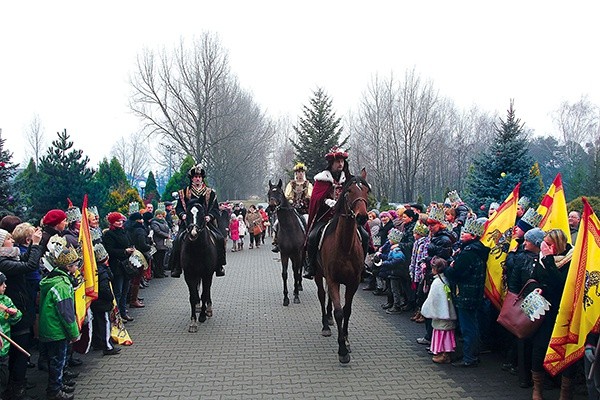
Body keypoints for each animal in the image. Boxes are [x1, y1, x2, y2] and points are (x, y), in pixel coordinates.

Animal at [180, 198, 218, 332]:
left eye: (202, 214)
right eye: (187, 214)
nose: (193, 233)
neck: (197, 250)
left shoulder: (207, 274)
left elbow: (204, 294)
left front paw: (202, 316)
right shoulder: (189, 274)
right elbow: (193, 296)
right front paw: (193, 322)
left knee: (207, 290)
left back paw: (208, 309)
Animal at [314, 169, 370, 362]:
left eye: (367, 191)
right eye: (349, 191)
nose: (362, 216)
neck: (344, 246)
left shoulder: (353, 282)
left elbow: (346, 310)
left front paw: (346, 340)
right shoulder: (332, 279)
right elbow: (339, 312)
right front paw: (342, 351)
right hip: (319, 275)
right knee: (322, 295)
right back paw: (325, 325)